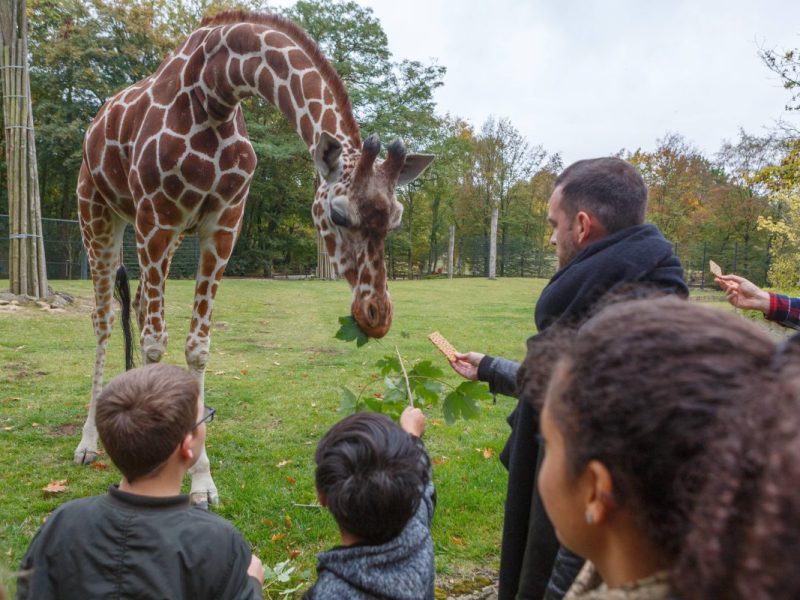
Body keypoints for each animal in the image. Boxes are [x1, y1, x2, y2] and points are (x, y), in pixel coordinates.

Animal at [75, 10, 434, 504]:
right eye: (338, 215)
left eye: (396, 218)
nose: (376, 314)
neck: (215, 90)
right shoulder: (156, 216)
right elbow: (154, 343)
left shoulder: (224, 224)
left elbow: (197, 347)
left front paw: (201, 479)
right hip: (98, 213)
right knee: (104, 319)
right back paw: (88, 443)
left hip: (160, 238)